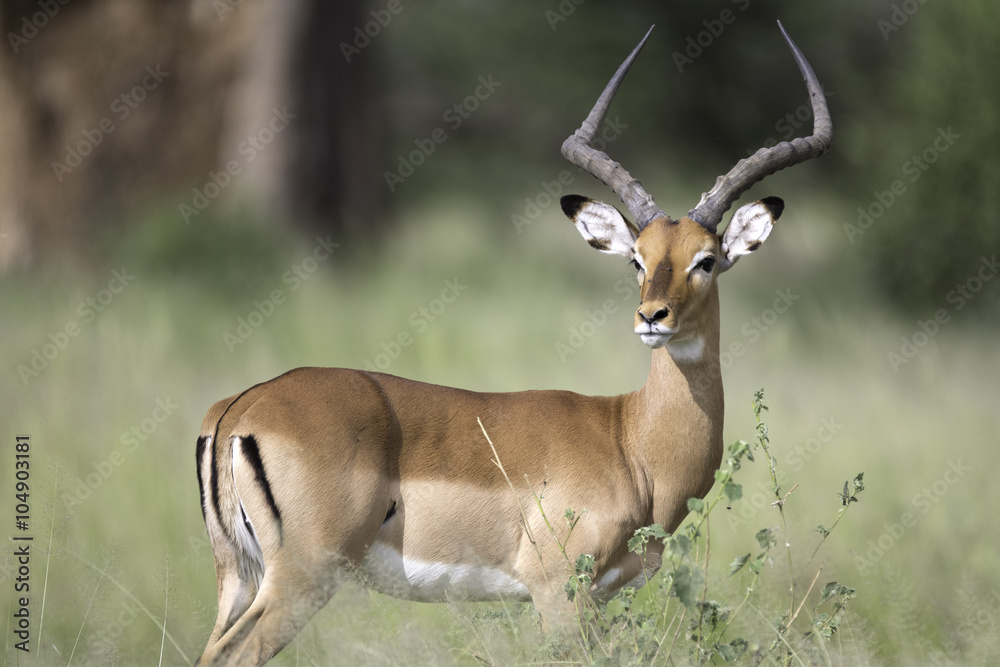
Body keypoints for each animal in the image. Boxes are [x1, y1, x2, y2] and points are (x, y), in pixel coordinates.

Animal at [195, 21, 831, 665]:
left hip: (238, 579)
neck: (631, 441)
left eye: (705, 260)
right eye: (637, 258)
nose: (652, 317)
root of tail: (240, 409)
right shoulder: (558, 594)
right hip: (302, 578)